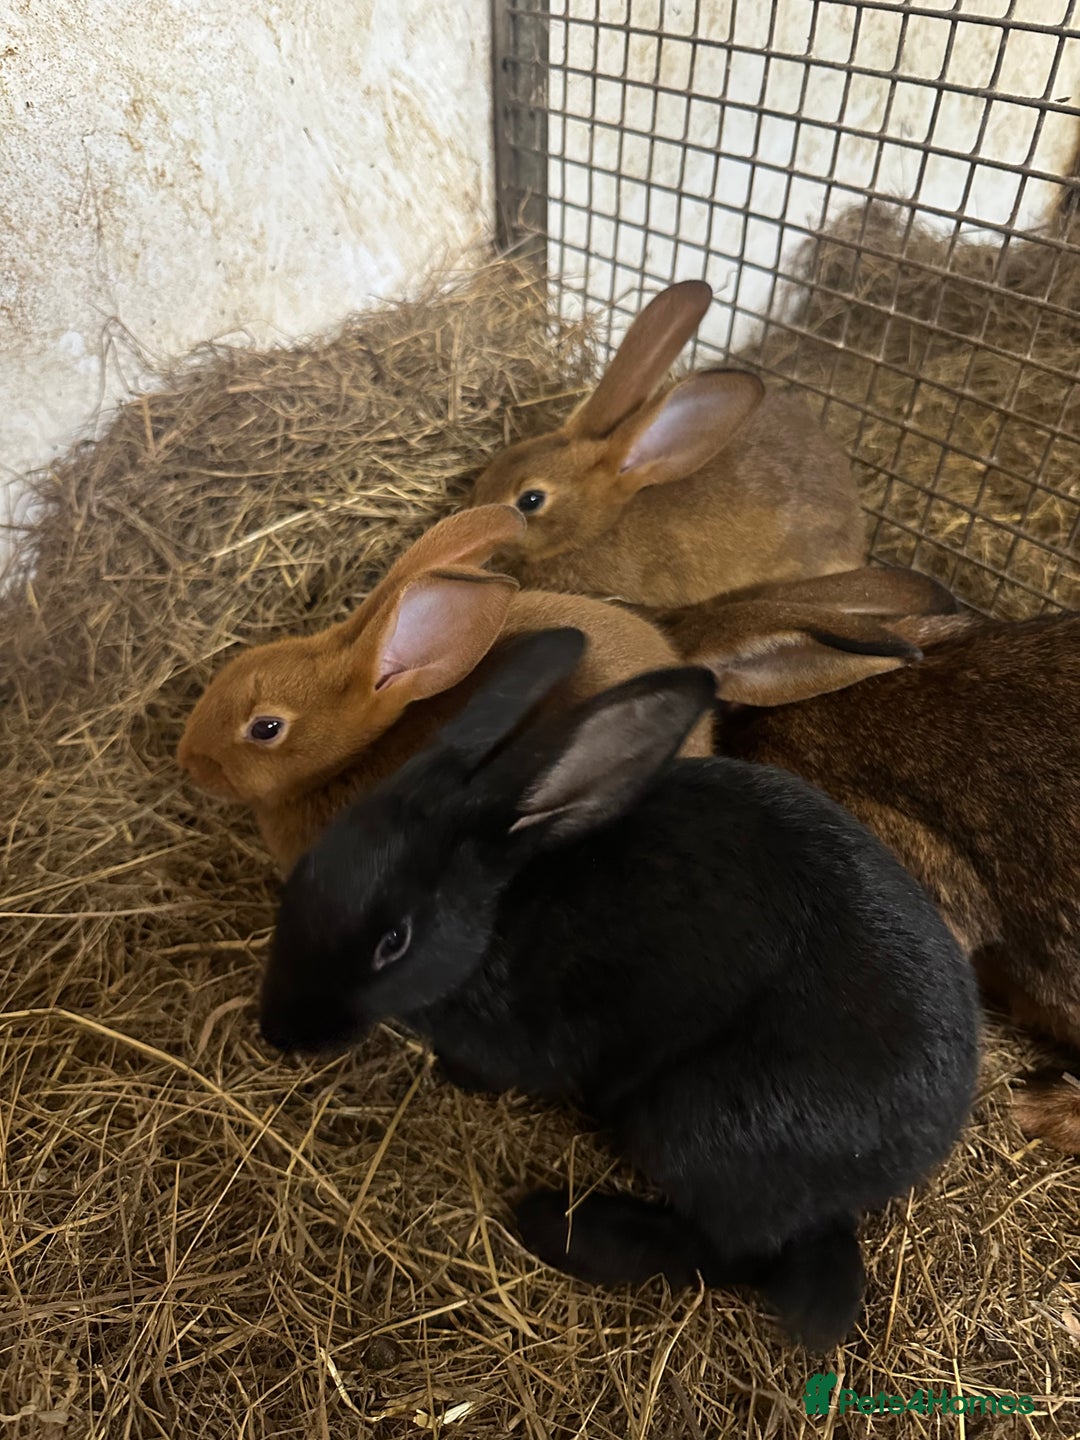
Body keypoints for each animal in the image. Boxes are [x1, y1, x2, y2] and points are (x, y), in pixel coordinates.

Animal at [260, 628, 979, 1350]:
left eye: (395, 940)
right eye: (309, 867)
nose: (278, 1032)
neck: (501, 909)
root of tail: (915, 1152)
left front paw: (453, 1075)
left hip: (696, 1122)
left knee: (731, 1250)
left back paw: (557, 1224)